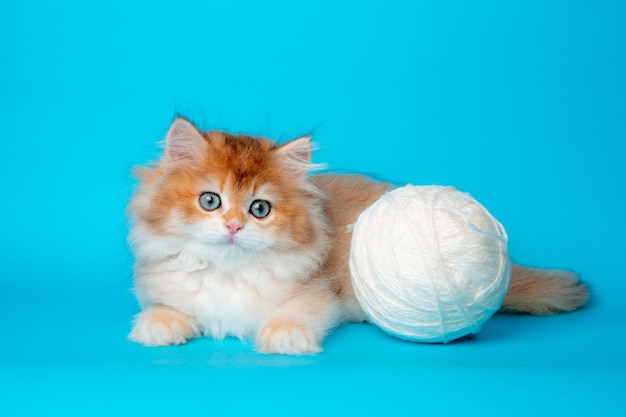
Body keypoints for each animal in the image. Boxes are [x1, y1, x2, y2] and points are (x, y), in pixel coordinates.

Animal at [128, 117, 588, 354]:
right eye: (210, 201)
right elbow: (168, 308)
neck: (228, 272)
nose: (233, 226)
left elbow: (294, 314)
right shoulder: (165, 284)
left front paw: (284, 339)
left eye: (260, 209)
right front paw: (156, 328)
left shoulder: (317, 293)